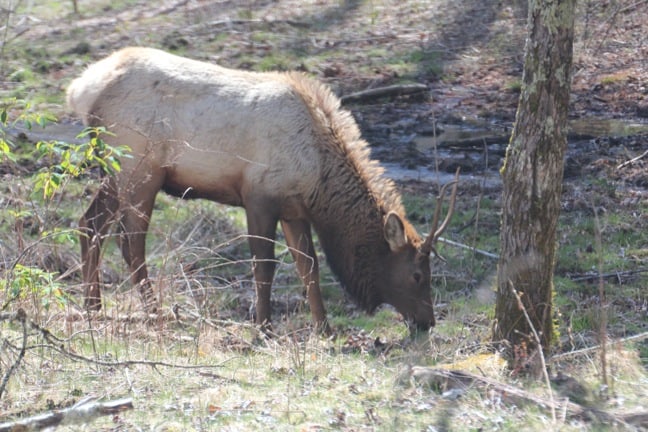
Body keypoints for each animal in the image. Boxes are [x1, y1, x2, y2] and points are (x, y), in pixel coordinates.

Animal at [66, 46, 458, 330]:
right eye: (417, 275)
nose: (428, 322)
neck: (319, 181)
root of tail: (79, 90)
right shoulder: (258, 197)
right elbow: (264, 266)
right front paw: (264, 326)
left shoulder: (294, 210)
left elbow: (308, 267)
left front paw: (324, 327)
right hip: (140, 169)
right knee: (130, 241)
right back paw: (152, 311)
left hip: (116, 171)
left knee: (89, 224)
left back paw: (93, 306)